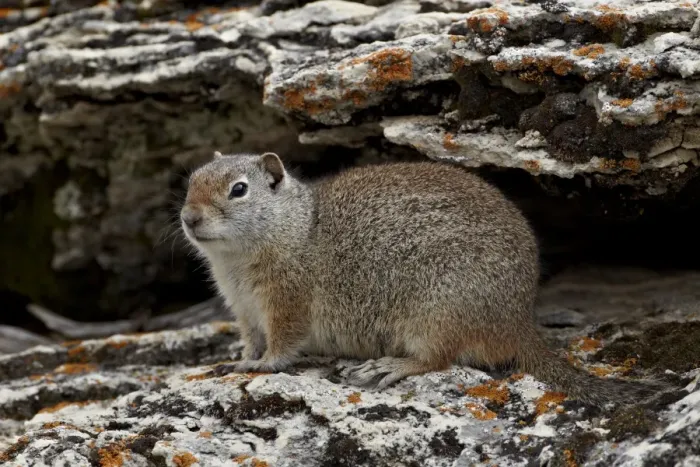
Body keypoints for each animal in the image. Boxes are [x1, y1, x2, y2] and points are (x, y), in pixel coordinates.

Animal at [180, 151, 669, 406]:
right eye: (190, 181)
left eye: (239, 190)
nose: (188, 217)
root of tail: (518, 322)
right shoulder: (244, 311)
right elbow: (249, 340)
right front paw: (235, 360)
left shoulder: (286, 301)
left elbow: (282, 345)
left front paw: (262, 366)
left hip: (435, 313)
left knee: (439, 358)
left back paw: (392, 366)